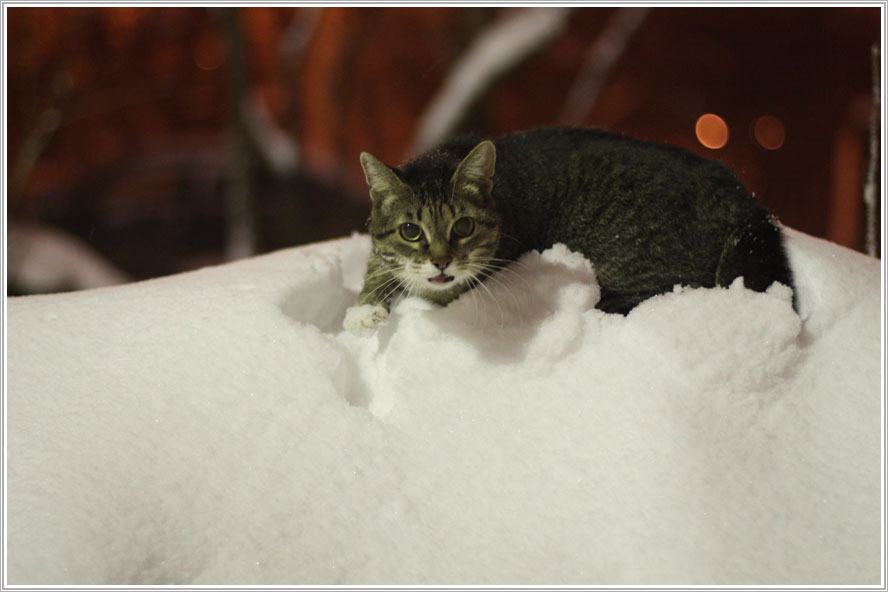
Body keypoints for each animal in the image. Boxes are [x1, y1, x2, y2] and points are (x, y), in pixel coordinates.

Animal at [343, 125, 794, 335]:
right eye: (410, 230)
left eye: (464, 226)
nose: (441, 261)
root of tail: (745, 199)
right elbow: (378, 268)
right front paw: (365, 311)